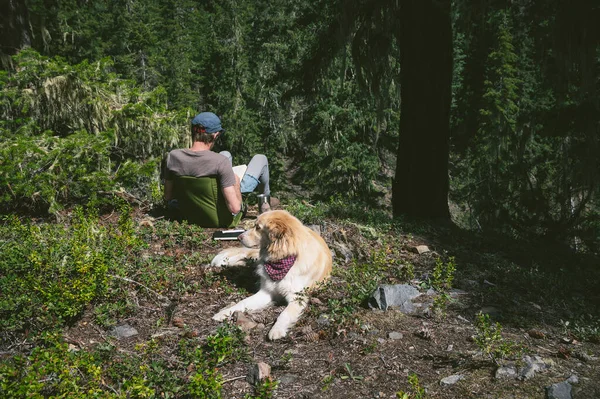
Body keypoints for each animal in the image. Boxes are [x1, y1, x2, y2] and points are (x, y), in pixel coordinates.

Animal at [210, 209, 332, 340]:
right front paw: (224, 312)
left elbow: (284, 314)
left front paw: (276, 330)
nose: (239, 237)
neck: (282, 259)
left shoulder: (297, 298)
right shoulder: (266, 292)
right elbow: (242, 302)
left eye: (258, 227)